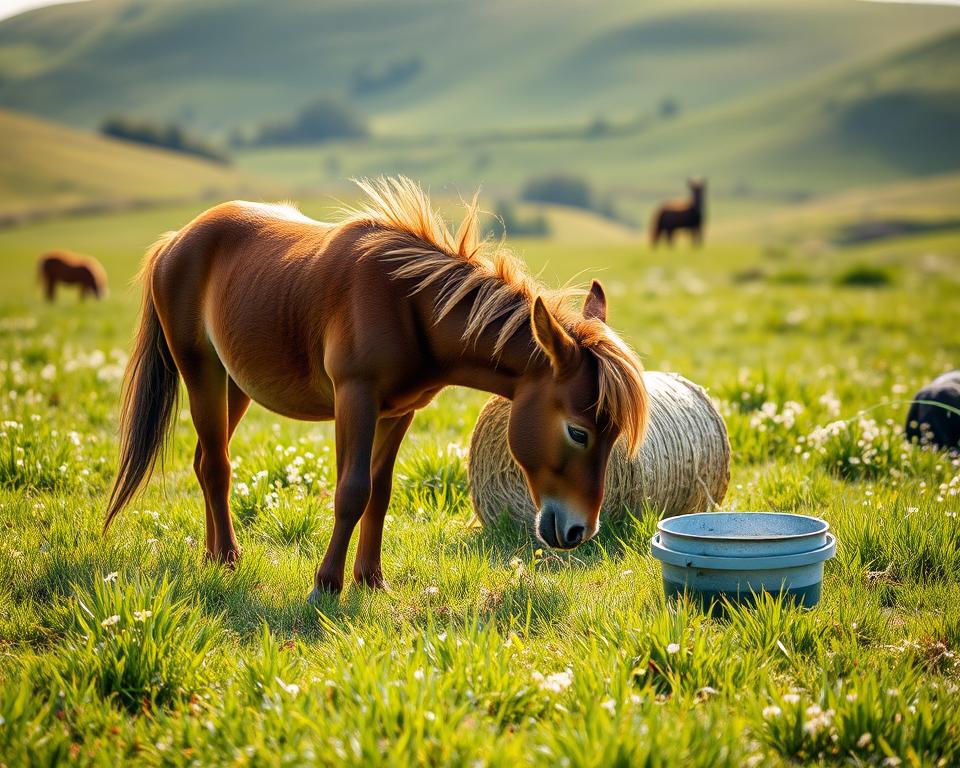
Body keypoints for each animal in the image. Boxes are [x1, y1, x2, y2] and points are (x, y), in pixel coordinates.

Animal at [106, 177, 649, 599]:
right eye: (578, 432)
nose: (579, 531)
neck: (407, 304)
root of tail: (177, 239)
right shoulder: (355, 399)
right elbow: (351, 490)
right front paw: (326, 584)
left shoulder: (398, 412)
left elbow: (380, 492)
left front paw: (371, 579)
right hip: (200, 371)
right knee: (217, 467)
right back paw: (227, 556)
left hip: (235, 383)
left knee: (204, 461)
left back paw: (211, 554)